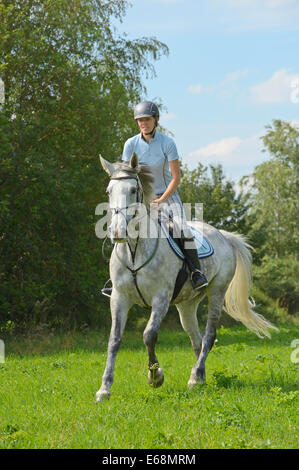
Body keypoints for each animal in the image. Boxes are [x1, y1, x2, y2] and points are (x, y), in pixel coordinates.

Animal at [96, 152, 278, 402]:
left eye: (133, 190)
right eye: (108, 191)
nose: (117, 232)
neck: (134, 251)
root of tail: (224, 235)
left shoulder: (161, 299)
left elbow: (149, 335)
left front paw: (155, 377)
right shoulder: (119, 298)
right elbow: (114, 340)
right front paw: (104, 389)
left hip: (217, 292)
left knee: (209, 336)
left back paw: (195, 377)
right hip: (186, 305)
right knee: (197, 340)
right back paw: (199, 377)